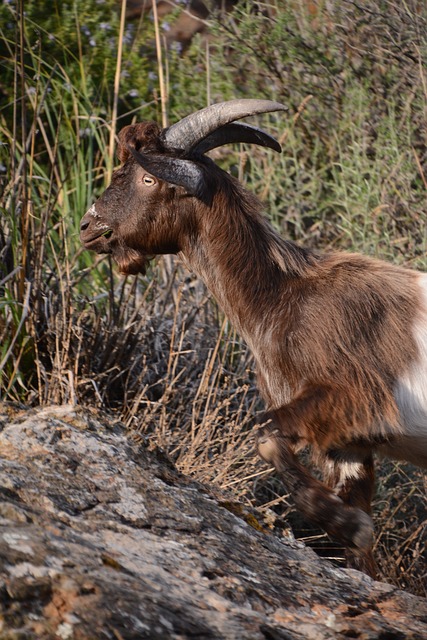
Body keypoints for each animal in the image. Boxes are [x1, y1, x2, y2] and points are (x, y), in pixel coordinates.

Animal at [80, 100, 427, 576]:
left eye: (148, 178)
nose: (87, 227)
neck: (283, 298)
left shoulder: (355, 394)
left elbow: (264, 433)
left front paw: (352, 526)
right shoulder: (350, 441)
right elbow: (358, 538)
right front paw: (351, 532)